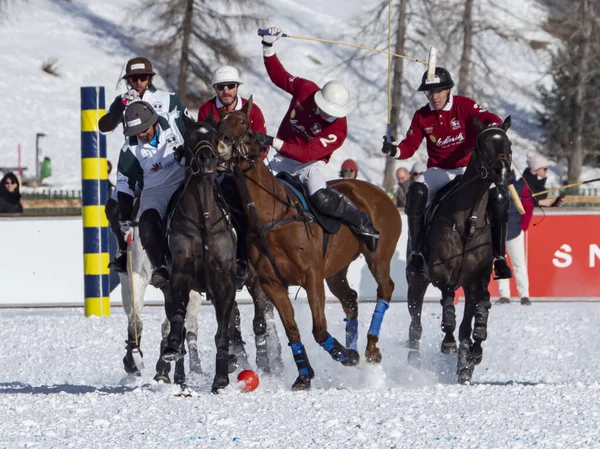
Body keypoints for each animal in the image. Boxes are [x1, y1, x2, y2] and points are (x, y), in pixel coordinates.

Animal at [213, 97, 400, 388]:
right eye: (219, 121)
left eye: (243, 122)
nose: (222, 144)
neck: (272, 216)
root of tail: (381, 192)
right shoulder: (273, 284)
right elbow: (292, 331)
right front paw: (304, 375)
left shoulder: (312, 276)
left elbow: (319, 330)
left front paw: (345, 356)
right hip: (336, 271)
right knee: (350, 299)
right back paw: (355, 347)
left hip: (379, 256)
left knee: (385, 288)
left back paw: (370, 349)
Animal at [406, 114, 512, 382]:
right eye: (482, 145)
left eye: (508, 145)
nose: (501, 172)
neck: (468, 221)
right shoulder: (441, 273)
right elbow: (448, 304)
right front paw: (449, 342)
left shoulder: (476, 281)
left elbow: (472, 320)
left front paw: (469, 358)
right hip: (416, 279)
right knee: (415, 323)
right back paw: (413, 362)